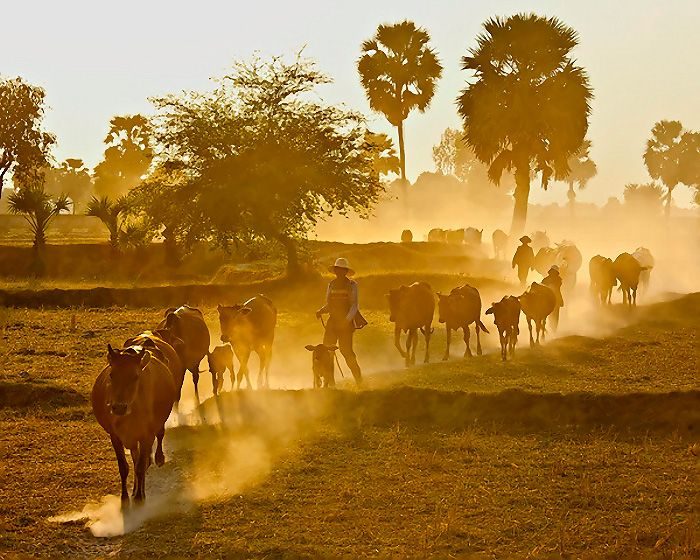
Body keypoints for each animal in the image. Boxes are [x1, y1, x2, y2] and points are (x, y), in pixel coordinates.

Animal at [91, 344, 176, 506]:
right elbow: (124, 467)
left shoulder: (147, 435)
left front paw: (139, 498)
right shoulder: (115, 436)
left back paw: (158, 460)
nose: (119, 407)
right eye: (112, 375)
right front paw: (125, 497)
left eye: (135, 376)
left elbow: (141, 466)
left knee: (157, 440)